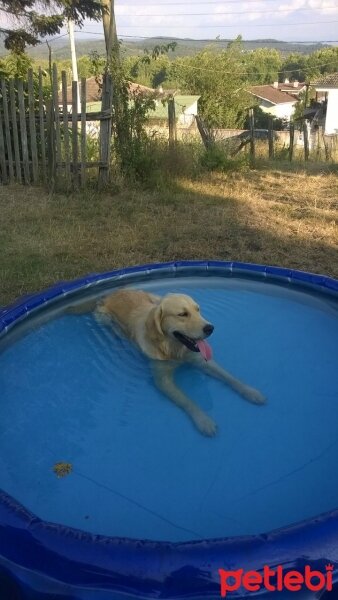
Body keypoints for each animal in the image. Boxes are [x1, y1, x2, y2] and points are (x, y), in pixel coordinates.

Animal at [68, 290, 264, 436]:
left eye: (198, 310)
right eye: (182, 314)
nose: (210, 328)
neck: (174, 349)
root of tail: (112, 292)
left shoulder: (201, 361)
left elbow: (230, 377)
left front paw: (251, 392)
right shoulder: (163, 380)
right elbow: (187, 401)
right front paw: (203, 420)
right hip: (105, 319)